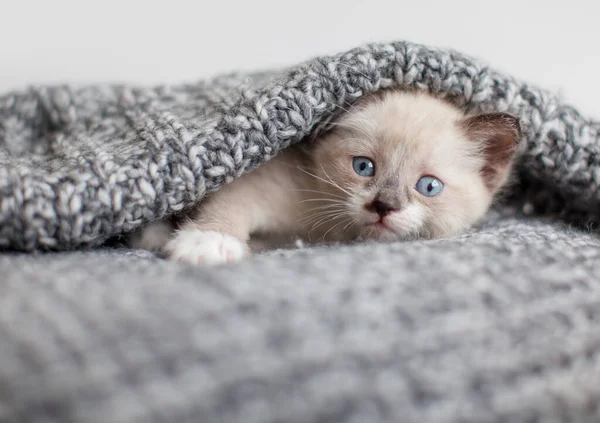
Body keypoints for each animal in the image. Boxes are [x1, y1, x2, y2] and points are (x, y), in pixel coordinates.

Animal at [130, 91, 520, 264]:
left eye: (428, 186)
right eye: (364, 167)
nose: (384, 206)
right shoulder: (262, 179)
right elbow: (230, 202)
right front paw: (207, 243)